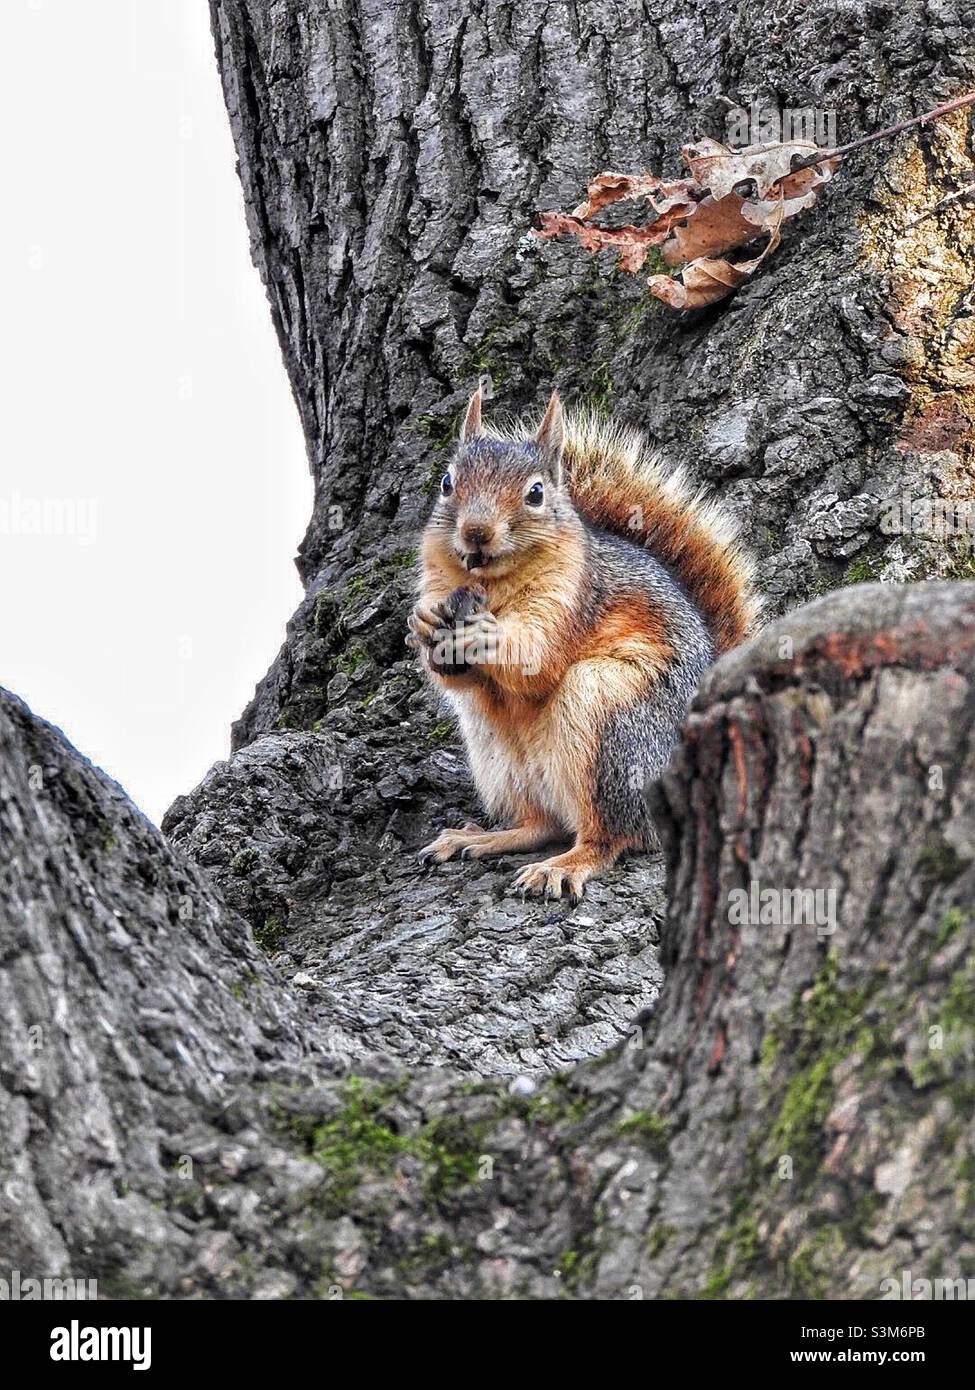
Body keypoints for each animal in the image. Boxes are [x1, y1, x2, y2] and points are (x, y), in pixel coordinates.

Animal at [406, 383, 756, 900]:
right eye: (448, 483)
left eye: (536, 493)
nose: (476, 532)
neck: (491, 586)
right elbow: (450, 671)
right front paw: (426, 624)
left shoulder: (573, 598)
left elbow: (538, 658)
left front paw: (488, 634)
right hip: (498, 757)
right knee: (542, 825)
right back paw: (483, 839)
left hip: (609, 718)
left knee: (612, 835)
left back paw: (565, 865)